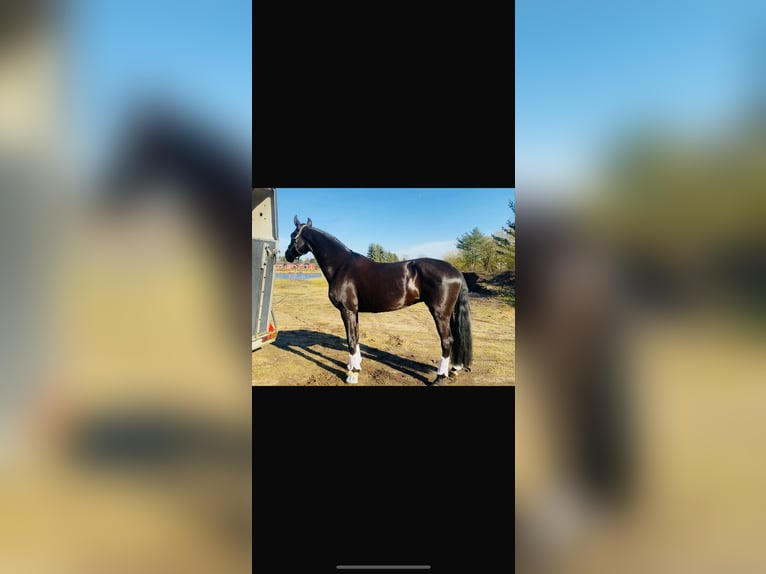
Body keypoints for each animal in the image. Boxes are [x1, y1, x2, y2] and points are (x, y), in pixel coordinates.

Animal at [284, 216, 473, 384]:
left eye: (292, 235)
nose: (286, 255)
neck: (341, 266)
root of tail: (455, 270)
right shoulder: (354, 312)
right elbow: (356, 337)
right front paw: (355, 366)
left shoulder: (347, 310)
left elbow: (351, 340)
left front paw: (352, 375)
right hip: (450, 313)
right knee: (456, 338)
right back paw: (454, 369)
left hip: (440, 313)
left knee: (447, 341)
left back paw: (440, 377)